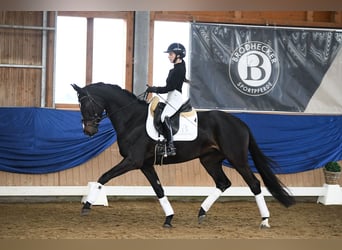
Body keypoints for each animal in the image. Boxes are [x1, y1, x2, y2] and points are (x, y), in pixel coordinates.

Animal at [71, 82, 294, 229]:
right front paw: (169, 217)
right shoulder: (145, 164)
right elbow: (159, 190)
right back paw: (202, 212)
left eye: (85, 104)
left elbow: (104, 177)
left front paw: (87, 205)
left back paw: (265, 220)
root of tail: (240, 123)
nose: (88, 131)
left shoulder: (132, 161)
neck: (132, 119)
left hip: (237, 159)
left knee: (254, 184)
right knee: (223, 183)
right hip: (209, 160)